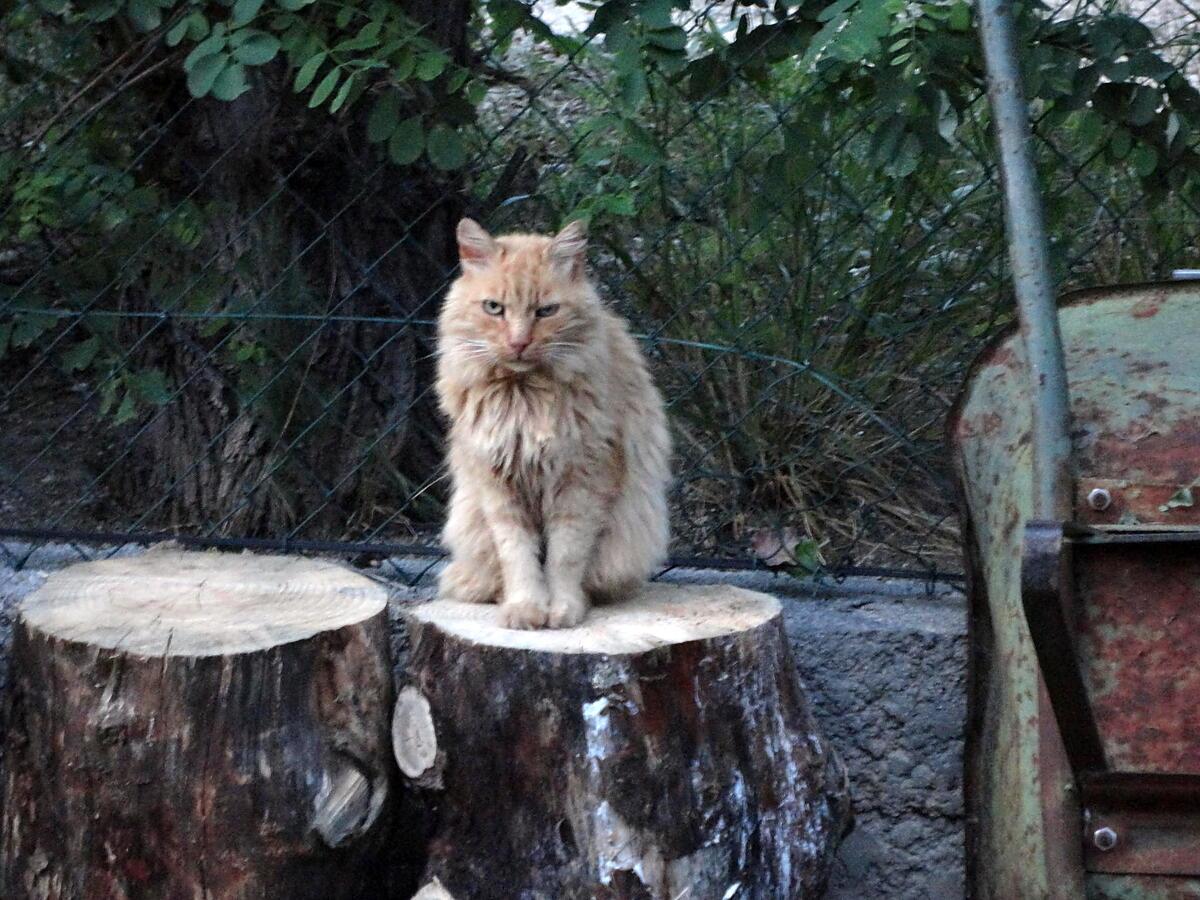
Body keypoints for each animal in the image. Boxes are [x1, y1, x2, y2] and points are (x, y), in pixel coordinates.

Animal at [434, 219, 676, 628]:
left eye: (546, 311)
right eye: (494, 308)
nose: (518, 343)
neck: (525, 397)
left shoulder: (582, 481)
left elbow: (565, 556)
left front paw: (562, 608)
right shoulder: (498, 484)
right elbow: (518, 556)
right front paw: (526, 608)